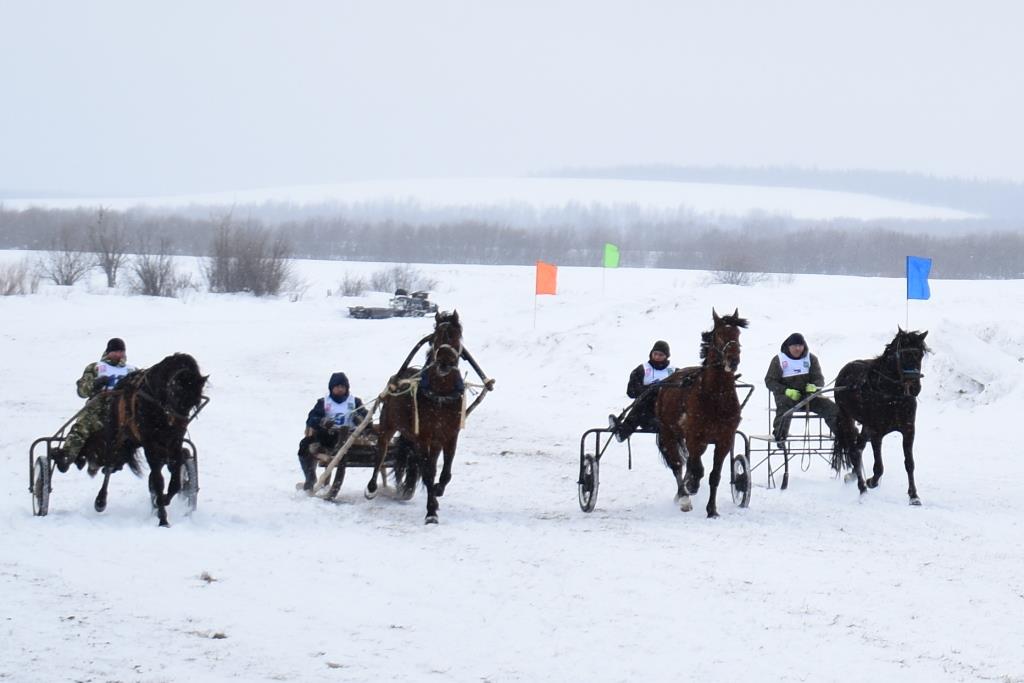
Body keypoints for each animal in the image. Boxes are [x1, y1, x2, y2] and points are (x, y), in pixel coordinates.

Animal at [80, 356, 208, 528]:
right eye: (177, 395)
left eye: (195, 402)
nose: (180, 424)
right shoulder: (150, 444)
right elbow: (158, 481)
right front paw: (163, 518)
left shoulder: (174, 442)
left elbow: (175, 479)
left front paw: (164, 500)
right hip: (116, 436)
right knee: (109, 465)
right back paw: (101, 500)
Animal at [366, 309, 466, 524]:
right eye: (435, 338)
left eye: (455, 335)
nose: (444, 363)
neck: (441, 395)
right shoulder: (423, 436)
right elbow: (427, 472)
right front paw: (431, 512)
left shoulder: (450, 436)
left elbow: (444, 473)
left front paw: (437, 491)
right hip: (388, 424)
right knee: (381, 451)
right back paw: (371, 487)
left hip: (433, 441)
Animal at [651, 307, 749, 516]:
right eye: (719, 335)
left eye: (737, 333)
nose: (733, 360)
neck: (716, 398)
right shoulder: (695, 437)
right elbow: (697, 469)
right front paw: (692, 487)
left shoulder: (724, 439)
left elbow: (714, 475)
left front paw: (712, 510)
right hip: (668, 433)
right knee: (677, 466)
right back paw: (684, 496)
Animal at [831, 327, 929, 505]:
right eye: (904, 355)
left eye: (920, 354)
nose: (915, 388)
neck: (893, 394)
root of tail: (844, 371)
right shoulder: (877, 431)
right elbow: (879, 467)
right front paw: (871, 481)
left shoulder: (908, 430)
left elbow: (909, 463)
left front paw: (914, 496)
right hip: (847, 417)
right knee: (854, 451)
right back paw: (862, 488)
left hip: (865, 424)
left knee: (859, 445)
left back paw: (853, 476)